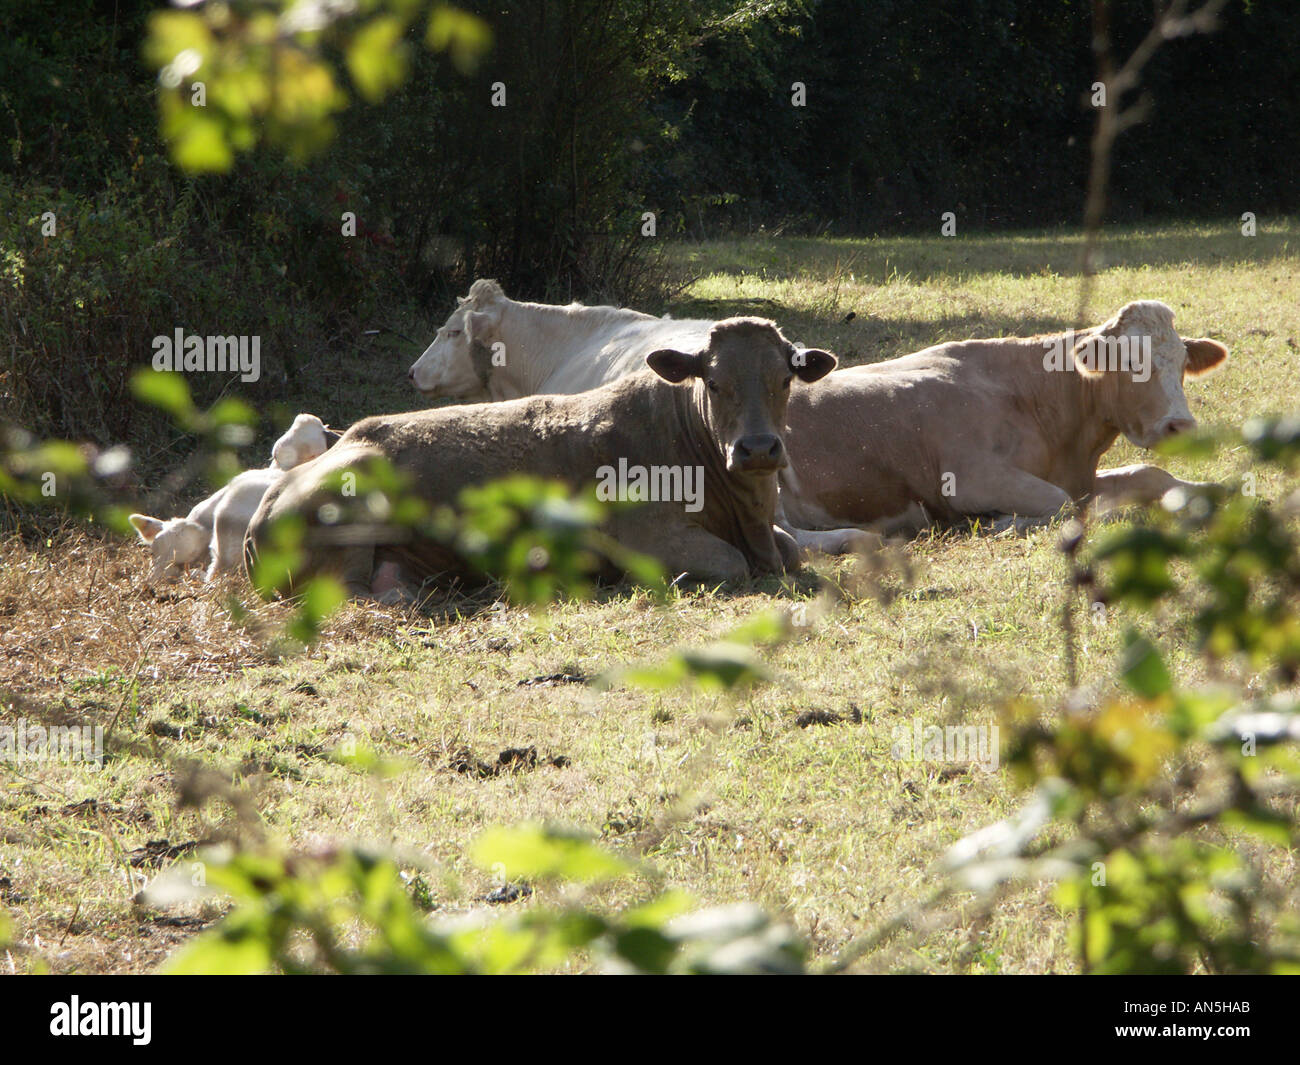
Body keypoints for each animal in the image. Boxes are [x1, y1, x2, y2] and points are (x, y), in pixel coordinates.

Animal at [249, 318, 837, 599]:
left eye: (786, 380)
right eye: (713, 383)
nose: (757, 449)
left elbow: (792, 551)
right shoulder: (649, 537)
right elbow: (729, 564)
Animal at [777, 300, 1228, 548]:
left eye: (1183, 363)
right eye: (1130, 361)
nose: (1179, 426)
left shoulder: (1076, 476)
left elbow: (1148, 473)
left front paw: (1209, 489)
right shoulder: (971, 478)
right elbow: (1065, 505)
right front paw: (999, 522)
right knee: (790, 535)